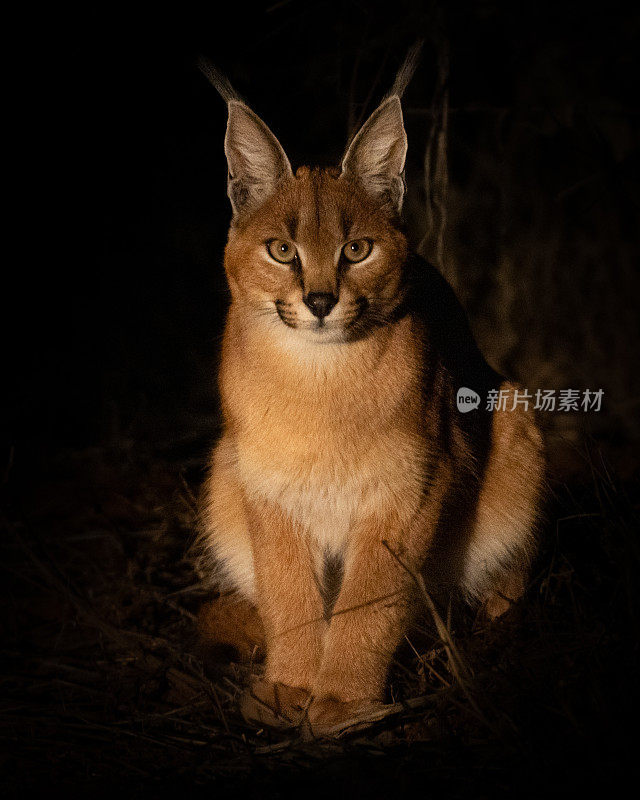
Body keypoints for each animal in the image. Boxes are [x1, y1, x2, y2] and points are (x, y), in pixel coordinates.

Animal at [196, 53, 544, 736]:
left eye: (357, 249)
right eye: (282, 249)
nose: (320, 301)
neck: (320, 376)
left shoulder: (412, 486)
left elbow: (370, 598)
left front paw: (341, 700)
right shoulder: (265, 484)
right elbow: (288, 593)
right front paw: (290, 687)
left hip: (513, 415)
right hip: (223, 469)